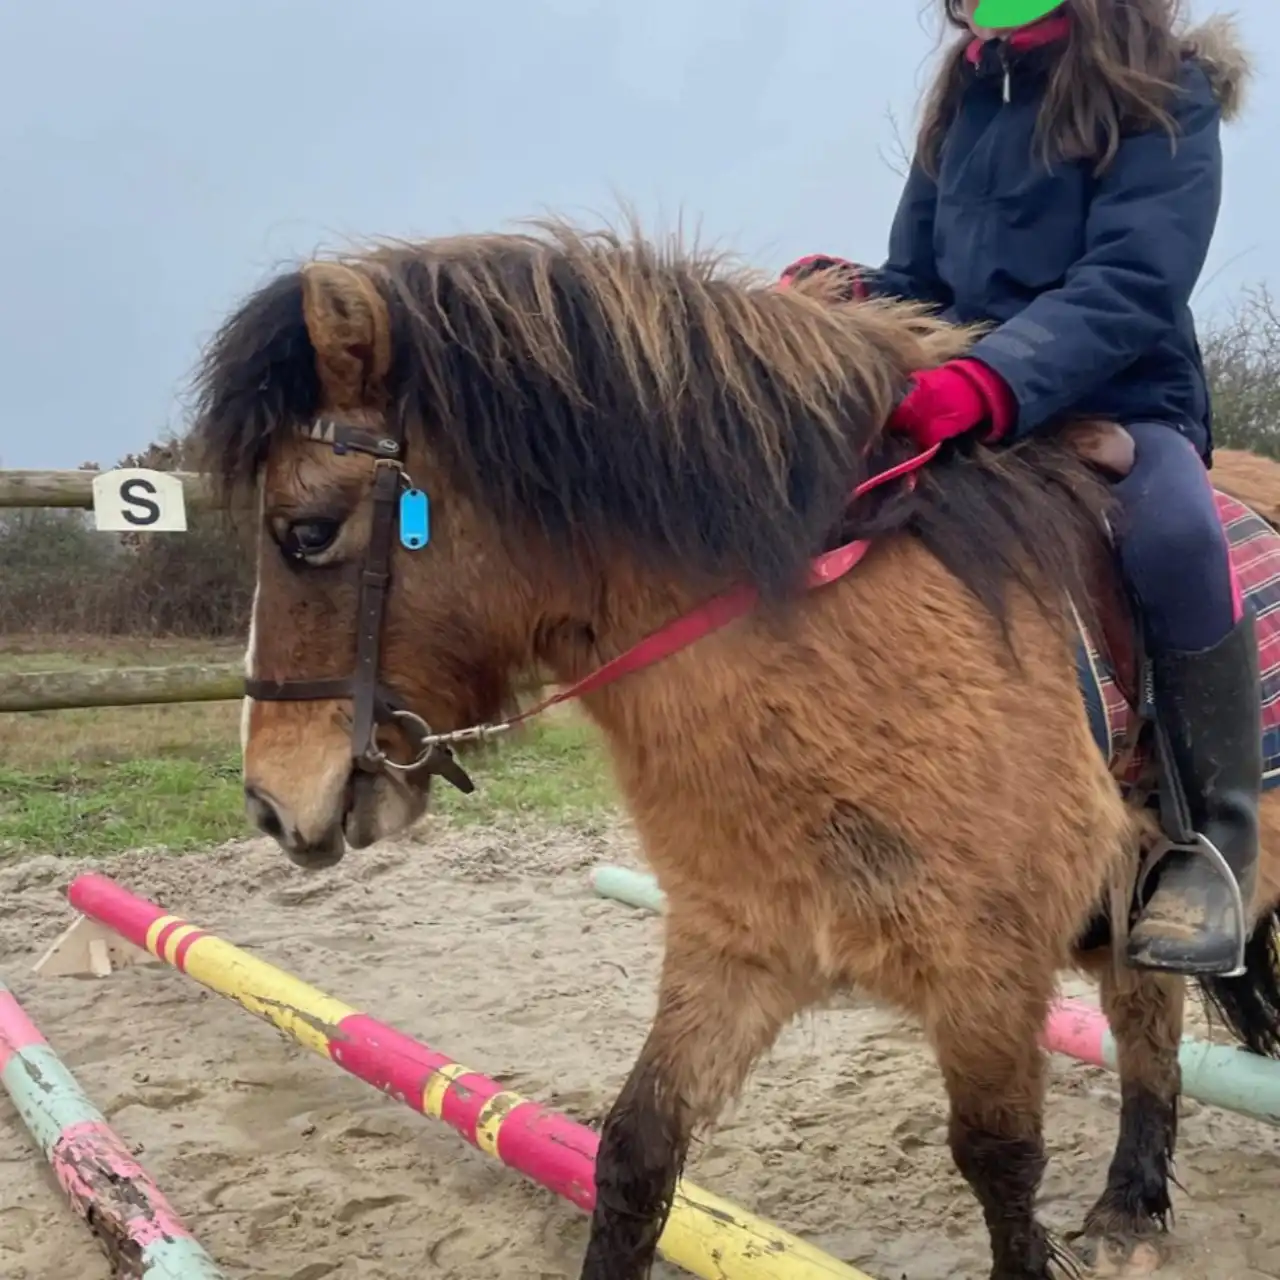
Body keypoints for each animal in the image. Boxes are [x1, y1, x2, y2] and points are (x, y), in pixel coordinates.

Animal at [191, 222, 1280, 1280]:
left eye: (306, 531)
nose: (272, 804)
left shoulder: (986, 973)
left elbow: (1000, 1167)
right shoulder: (736, 947)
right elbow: (634, 1150)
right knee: (1146, 1013)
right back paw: (1128, 1205)